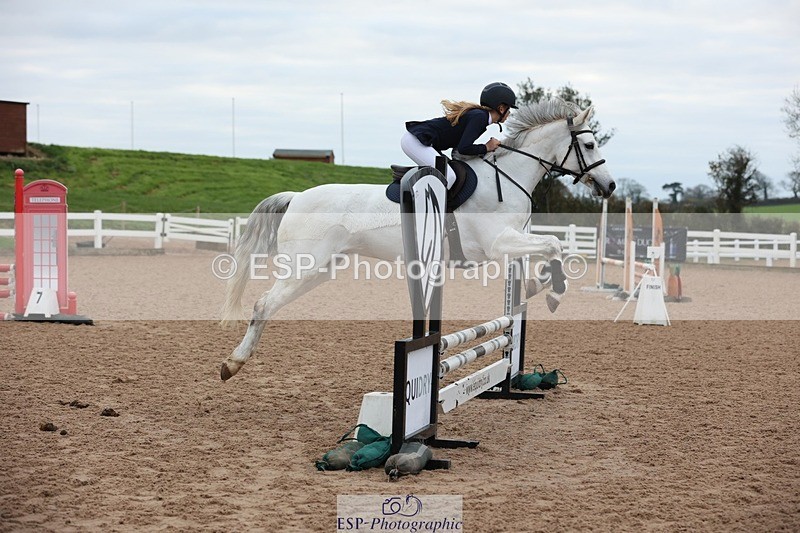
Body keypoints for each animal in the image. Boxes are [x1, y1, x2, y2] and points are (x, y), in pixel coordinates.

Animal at [219, 98, 616, 380]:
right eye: (590, 144)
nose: (610, 186)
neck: (508, 174)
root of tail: (297, 196)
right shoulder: (497, 244)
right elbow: (555, 246)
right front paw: (554, 293)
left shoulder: (512, 241)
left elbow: (546, 255)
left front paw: (537, 287)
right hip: (305, 266)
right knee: (263, 305)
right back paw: (233, 364)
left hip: (321, 270)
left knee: (271, 305)